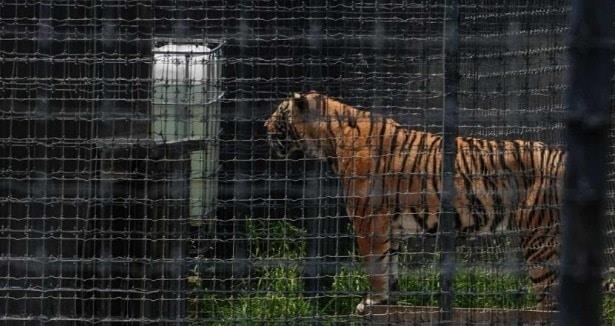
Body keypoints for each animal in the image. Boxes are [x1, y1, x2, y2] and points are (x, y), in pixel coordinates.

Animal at [264, 90, 564, 314]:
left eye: (279, 112)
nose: (263, 126)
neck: (329, 140)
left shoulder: (367, 219)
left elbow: (374, 264)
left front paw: (371, 301)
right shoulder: (390, 227)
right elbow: (389, 265)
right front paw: (388, 302)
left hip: (539, 237)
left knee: (551, 297)